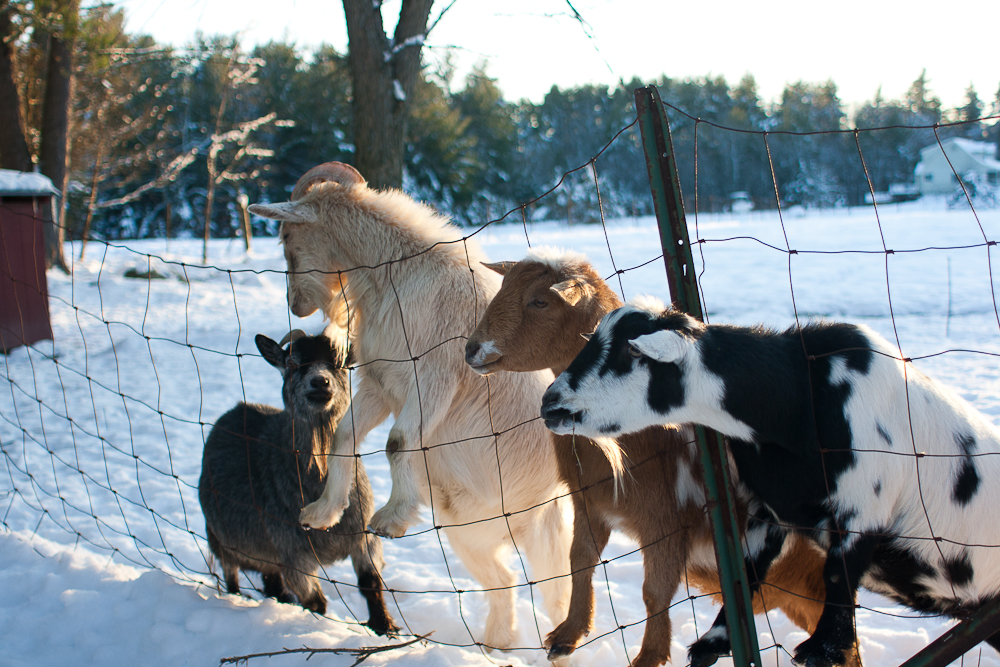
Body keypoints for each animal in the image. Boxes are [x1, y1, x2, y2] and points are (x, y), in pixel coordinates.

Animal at [199, 330, 398, 636]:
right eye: (292, 363)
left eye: (339, 362)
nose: (320, 382)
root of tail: (233, 411)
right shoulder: (293, 554)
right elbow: (316, 602)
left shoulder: (364, 539)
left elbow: (370, 585)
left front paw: (385, 627)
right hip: (221, 540)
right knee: (232, 575)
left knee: (271, 581)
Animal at [248, 164, 572, 656]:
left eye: (286, 234)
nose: (295, 304)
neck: (396, 274)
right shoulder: (380, 384)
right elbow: (345, 434)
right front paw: (321, 512)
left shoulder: (434, 377)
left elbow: (398, 441)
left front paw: (391, 520)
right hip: (465, 530)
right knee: (504, 580)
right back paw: (496, 644)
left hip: (539, 531)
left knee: (558, 597)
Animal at [462, 247, 860, 667]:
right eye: (504, 287)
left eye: (540, 301)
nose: (472, 350)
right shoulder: (589, 504)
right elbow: (579, 561)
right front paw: (567, 635)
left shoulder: (665, 520)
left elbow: (654, 590)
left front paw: (649, 655)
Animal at [544, 296, 1000, 667]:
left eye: (629, 351)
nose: (550, 403)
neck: (796, 401)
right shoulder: (769, 511)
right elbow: (746, 573)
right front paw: (714, 641)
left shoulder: (864, 505)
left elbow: (838, 577)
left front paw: (822, 649)